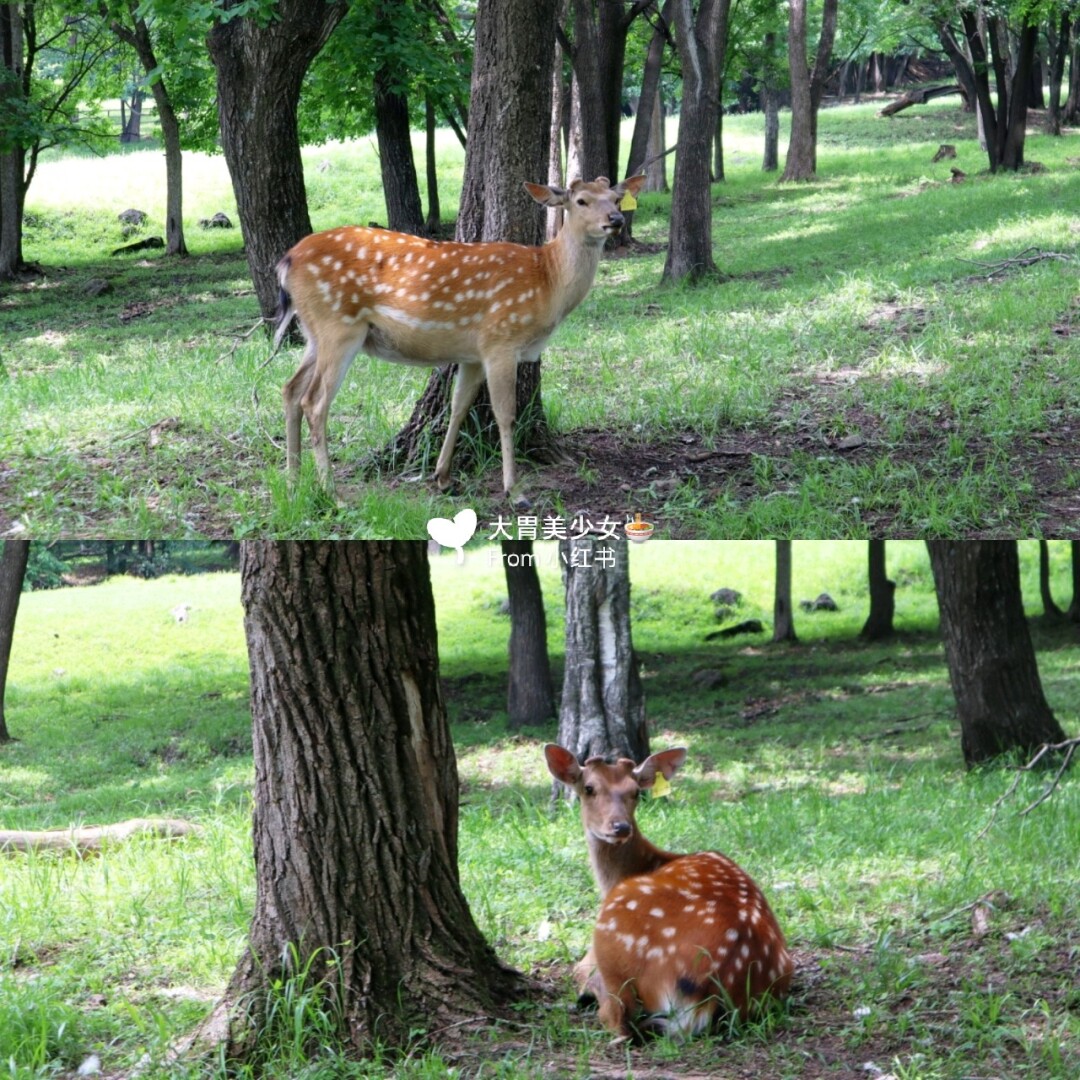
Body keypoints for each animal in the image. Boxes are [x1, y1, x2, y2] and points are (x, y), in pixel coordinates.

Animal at [273, 174, 646, 509]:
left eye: (615, 199)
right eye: (581, 201)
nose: (614, 221)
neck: (547, 281)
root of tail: (286, 262)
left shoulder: (473, 355)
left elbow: (458, 406)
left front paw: (442, 477)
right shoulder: (501, 340)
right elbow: (505, 414)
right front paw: (515, 491)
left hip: (314, 333)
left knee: (290, 389)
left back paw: (292, 483)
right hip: (339, 326)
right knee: (314, 402)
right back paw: (332, 493)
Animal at [544, 743, 794, 1040]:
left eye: (635, 791)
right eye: (589, 788)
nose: (620, 827)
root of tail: (707, 996)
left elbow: (579, 967)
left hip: (612, 926)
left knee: (619, 1018)